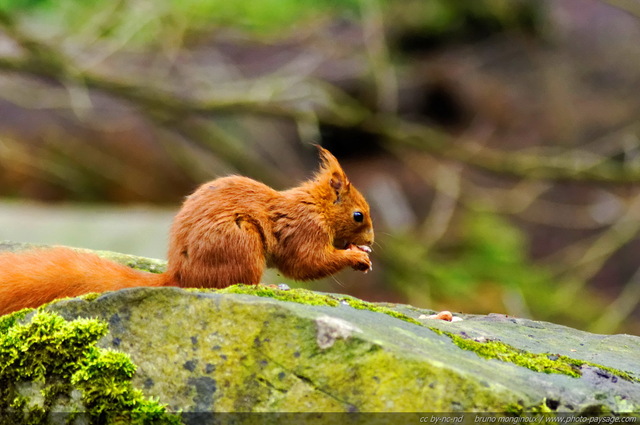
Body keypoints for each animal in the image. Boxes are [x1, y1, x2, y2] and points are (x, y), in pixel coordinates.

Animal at [0, 147, 372, 314]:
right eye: (358, 215)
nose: (371, 240)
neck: (317, 207)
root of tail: (180, 276)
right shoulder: (305, 230)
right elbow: (305, 263)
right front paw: (356, 256)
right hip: (241, 243)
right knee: (232, 284)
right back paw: (270, 287)